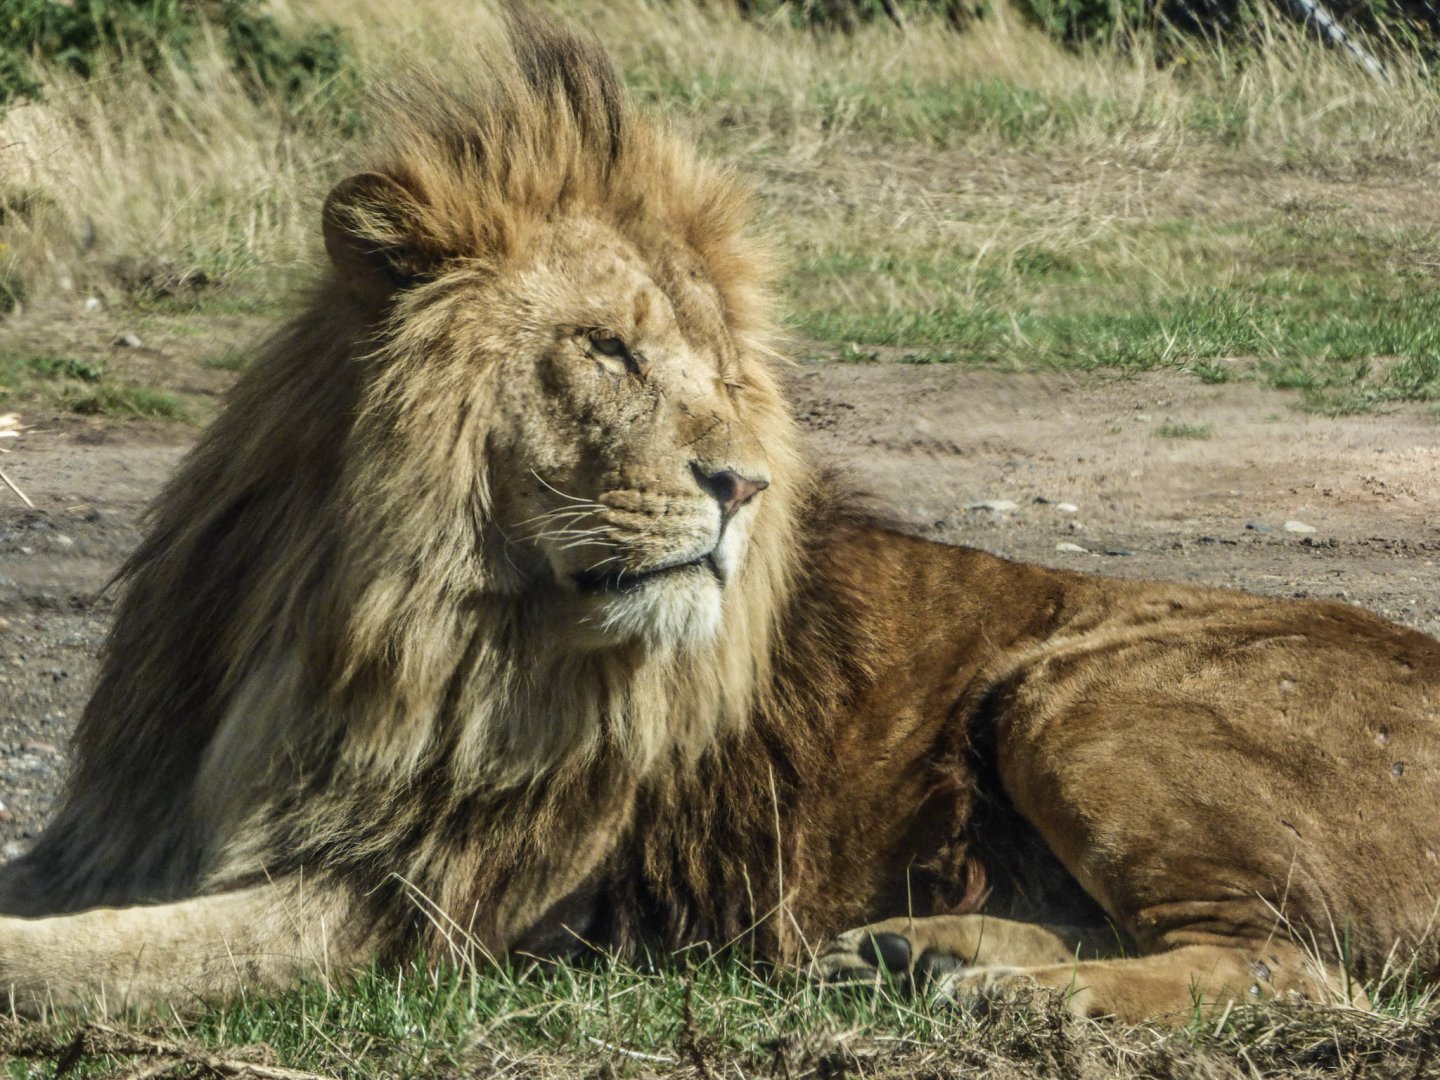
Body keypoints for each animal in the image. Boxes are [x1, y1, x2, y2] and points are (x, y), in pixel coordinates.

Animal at [0, 6, 1436, 1025]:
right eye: (607, 349)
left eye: (729, 375)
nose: (744, 484)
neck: (361, 618)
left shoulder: (410, 899)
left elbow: (89, 958)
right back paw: (919, 951)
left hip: (1079, 692)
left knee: (1286, 964)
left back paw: (1014, 996)